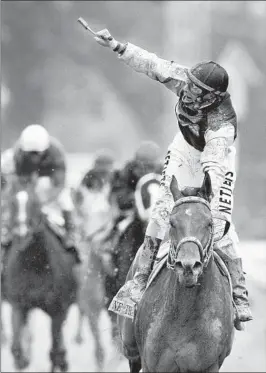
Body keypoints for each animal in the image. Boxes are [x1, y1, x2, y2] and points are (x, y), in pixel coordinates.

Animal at [3, 178, 78, 370]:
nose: (21, 234)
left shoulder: (57, 310)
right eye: (12, 203)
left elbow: (54, 352)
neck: (33, 265)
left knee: (57, 350)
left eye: (35, 204)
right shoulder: (19, 305)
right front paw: (22, 360)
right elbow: (16, 349)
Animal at [117, 174, 234, 372]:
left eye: (209, 223)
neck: (183, 316)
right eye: (172, 223)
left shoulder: (208, 365)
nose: (188, 266)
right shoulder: (151, 364)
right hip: (131, 348)